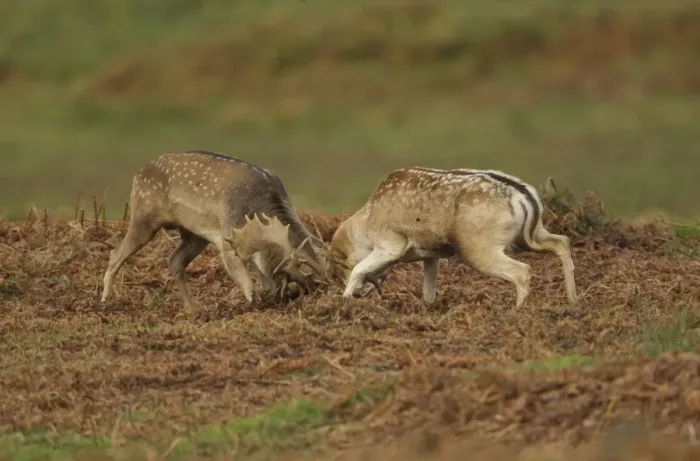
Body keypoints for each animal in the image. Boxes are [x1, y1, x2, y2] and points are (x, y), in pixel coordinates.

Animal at [101, 151, 327, 310]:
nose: (288, 300)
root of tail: (137, 174)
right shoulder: (229, 237)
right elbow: (247, 283)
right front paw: (253, 305)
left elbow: (265, 279)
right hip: (143, 216)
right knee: (115, 253)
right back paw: (105, 300)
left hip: (194, 236)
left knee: (175, 261)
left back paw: (193, 310)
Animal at [325, 167, 579, 309]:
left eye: (338, 270)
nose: (359, 295)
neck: (366, 223)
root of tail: (525, 196)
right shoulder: (431, 255)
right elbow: (428, 289)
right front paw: (428, 309)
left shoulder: (391, 244)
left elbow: (359, 269)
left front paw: (344, 302)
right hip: (531, 235)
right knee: (561, 242)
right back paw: (573, 301)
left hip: (479, 248)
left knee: (522, 271)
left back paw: (517, 312)